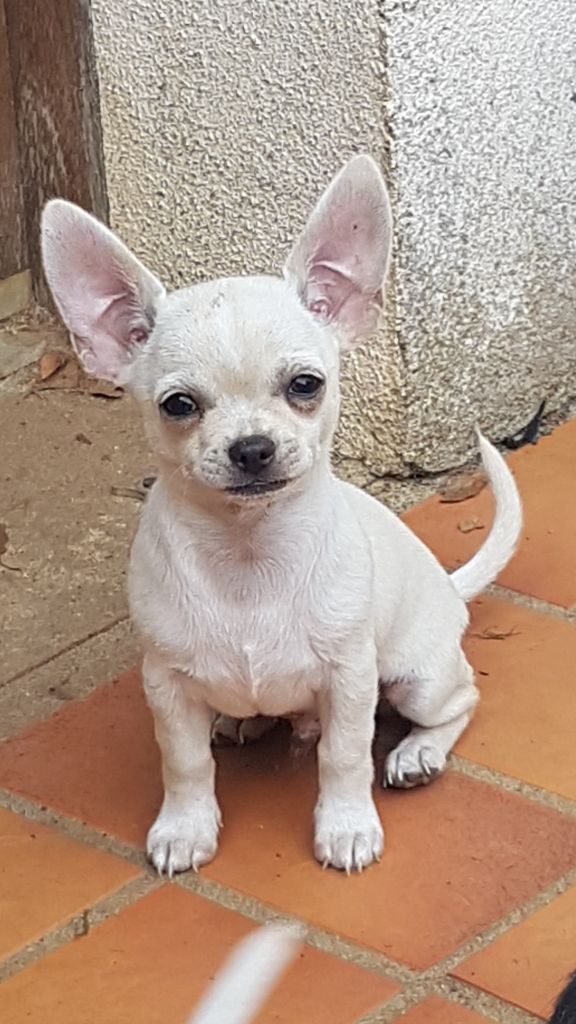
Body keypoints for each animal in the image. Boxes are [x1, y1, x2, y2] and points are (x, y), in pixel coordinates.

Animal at [41, 154, 522, 876]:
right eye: (178, 405)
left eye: (304, 386)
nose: (251, 447)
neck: (249, 554)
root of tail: (447, 585)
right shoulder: (167, 687)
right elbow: (184, 763)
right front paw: (185, 827)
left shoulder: (351, 678)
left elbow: (344, 756)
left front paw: (346, 825)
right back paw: (242, 719)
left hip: (416, 677)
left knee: (460, 699)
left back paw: (418, 753)